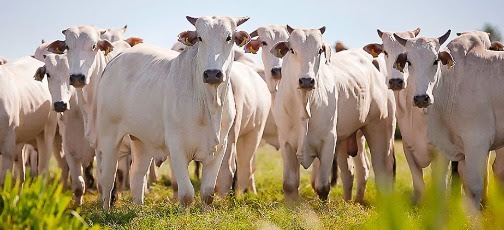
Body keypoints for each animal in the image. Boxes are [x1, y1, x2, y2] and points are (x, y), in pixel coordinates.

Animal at [92, 16, 250, 208]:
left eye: (229, 37)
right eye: (200, 38)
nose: (212, 74)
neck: (209, 104)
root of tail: (116, 59)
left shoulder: (219, 148)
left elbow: (207, 193)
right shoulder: (177, 147)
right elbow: (187, 194)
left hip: (142, 140)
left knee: (136, 175)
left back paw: (139, 209)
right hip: (109, 137)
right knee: (107, 179)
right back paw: (106, 210)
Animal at [270, 26, 396, 200]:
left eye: (319, 50)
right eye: (292, 50)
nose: (307, 80)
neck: (304, 103)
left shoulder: (329, 140)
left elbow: (322, 187)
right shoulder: (286, 142)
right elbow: (289, 185)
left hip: (380, 129)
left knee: (382, 170)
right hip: (350, 138)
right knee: (353, 171)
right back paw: (352, 201)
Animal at [394, 30, 504, 207]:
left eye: (435, 60)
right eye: (409, 62)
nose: (421, 98)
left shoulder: (477, 142)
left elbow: (474, 189)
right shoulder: (444, 150)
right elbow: (442, 188)